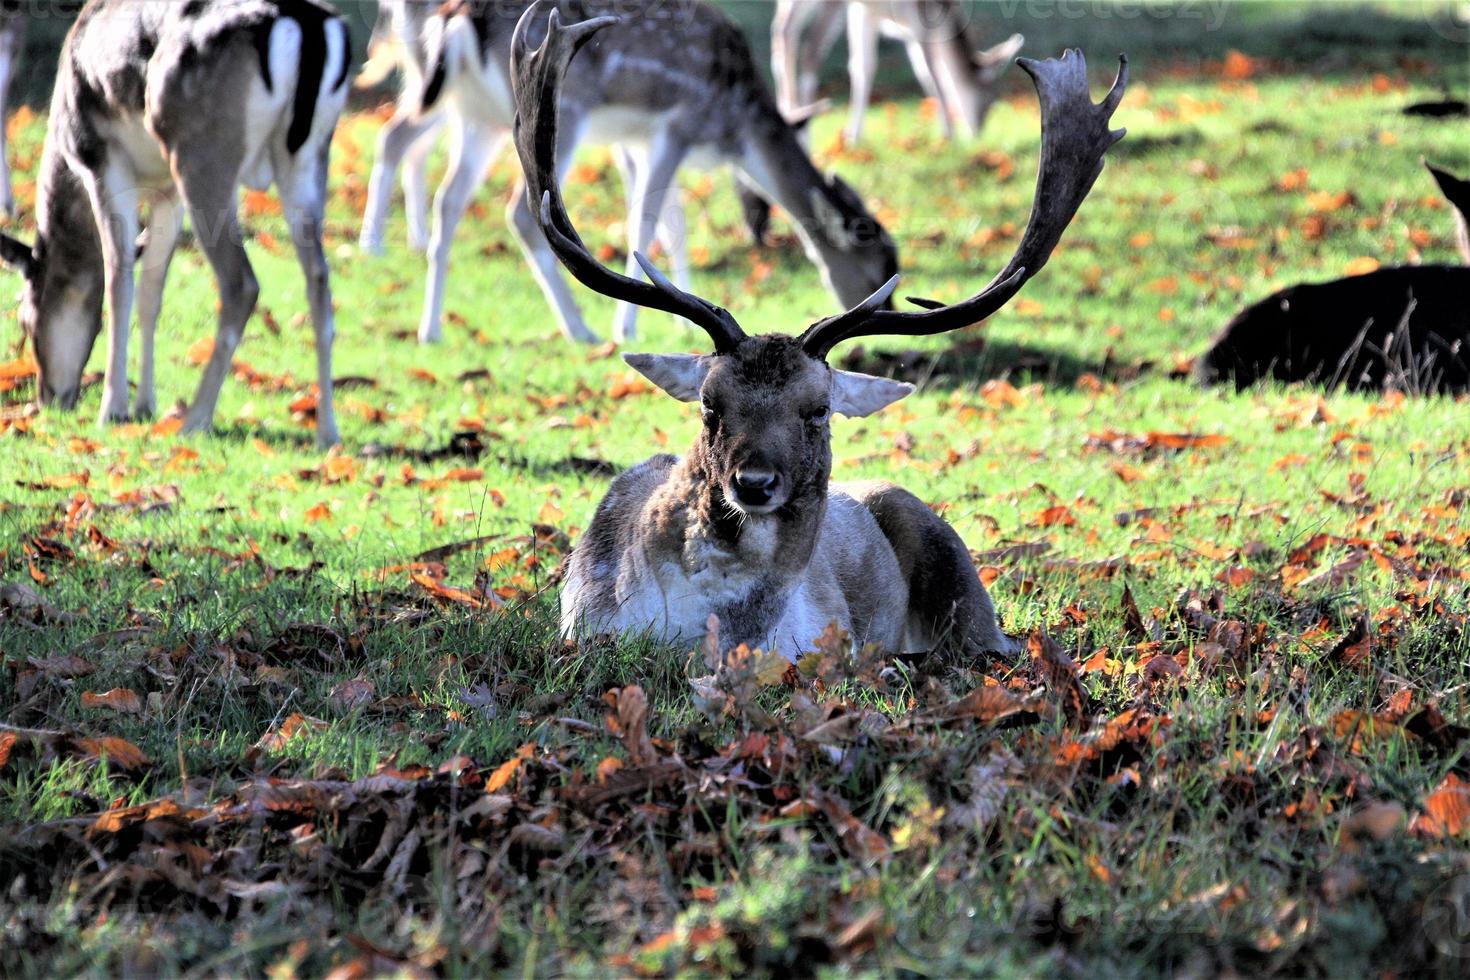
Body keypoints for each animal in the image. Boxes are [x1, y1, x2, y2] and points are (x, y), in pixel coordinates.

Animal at [0, 0, 349, 443]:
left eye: (25, 318)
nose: (50, 398)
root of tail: (302, 23)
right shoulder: (168, 192)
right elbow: (153, 290)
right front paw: (145, 405)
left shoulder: (100, 159)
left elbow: (118, 278)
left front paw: (113, 409)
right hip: (309, 158)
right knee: (319, 280)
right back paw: (328, 431)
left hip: (202, 155)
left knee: (242, 283)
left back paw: (195, 419)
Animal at [408, 0, 899, 348]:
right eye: (877, 263)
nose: (885, 322)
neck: (734, 123)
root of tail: (459, 18)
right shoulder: (677, 124)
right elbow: (644, 219)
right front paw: (627, 328)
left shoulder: (640, 138)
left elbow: (673, 222)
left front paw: (686, 312)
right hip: (567, 108)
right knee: (520, 212)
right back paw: (580, 330)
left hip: (479, 116)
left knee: (449, 199)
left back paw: (430, 329)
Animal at [770, 0, 1023, 144]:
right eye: (991, 100)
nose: (978, 134)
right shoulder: (920, 20)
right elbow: (932, 73)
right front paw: (948, 135)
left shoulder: (865, 13)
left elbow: (865, 67)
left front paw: (853, 137)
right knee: (808, 48)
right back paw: (801, 125)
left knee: (783, 30)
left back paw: (788, 112)